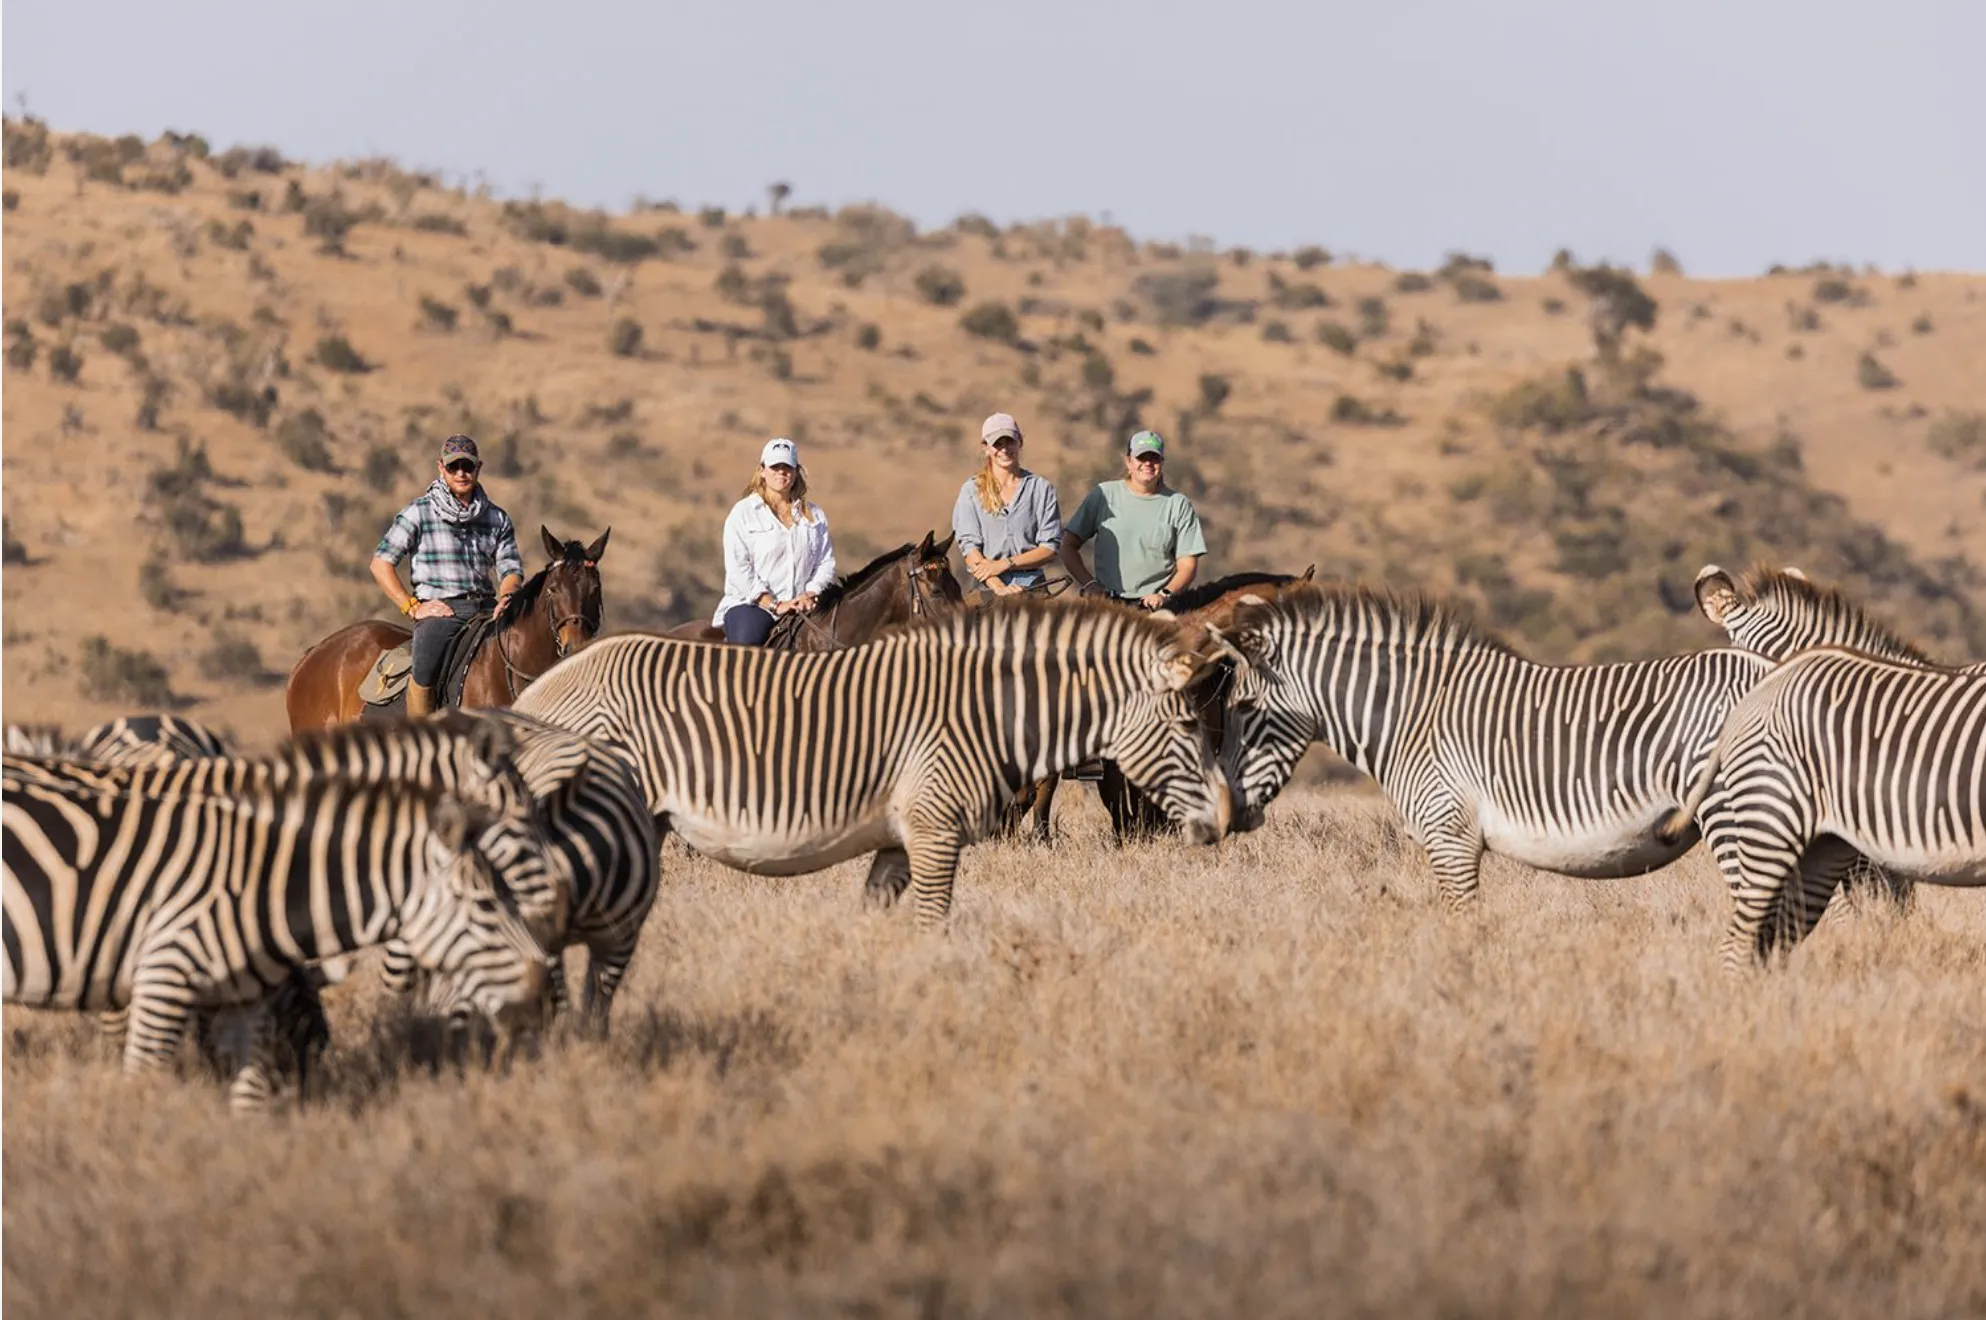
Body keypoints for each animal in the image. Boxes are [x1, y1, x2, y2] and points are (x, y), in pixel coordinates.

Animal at [512, 596, 1239, 929]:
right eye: (1185, 723)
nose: (1230, 820)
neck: (985, 710)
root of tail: (537, 687)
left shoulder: (899, 839)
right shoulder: (935, 829)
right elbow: (933, 925)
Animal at [1206, 581, 1784, 909]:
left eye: (1244, 707)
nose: (1227, 816)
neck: (1410, 715)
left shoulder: (1449, 834)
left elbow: (1466, 926)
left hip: (1737, 811)